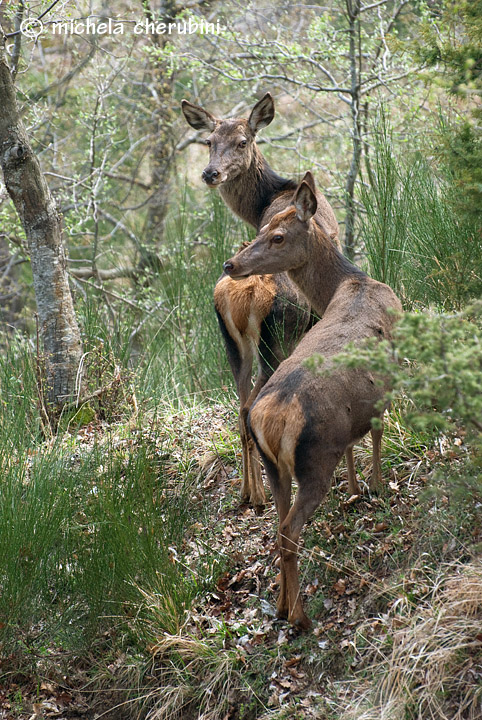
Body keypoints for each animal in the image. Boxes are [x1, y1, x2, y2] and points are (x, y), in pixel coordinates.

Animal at [181, 94, 338, 512]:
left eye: (241, 141)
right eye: (208, 141)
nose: (210, 173)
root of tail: (244, 297)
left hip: (232, 345)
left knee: (240, 405)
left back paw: (249, 493)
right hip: (277, 340)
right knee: (252, 406)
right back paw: (262, 493)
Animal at [223, 174, 402, 632]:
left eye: (276, 235)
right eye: (264, 230)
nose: (230, 264)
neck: (353, 283)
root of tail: (271, 419)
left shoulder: (354, 414)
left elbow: (356, 440)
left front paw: (356, 488)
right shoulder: (391, 377)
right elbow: (377, 434)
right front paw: (377, 486)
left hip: (276, 466)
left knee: (276, 524)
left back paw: (281, 605)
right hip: (315, 459)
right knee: (289, 530)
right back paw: (300, 617)